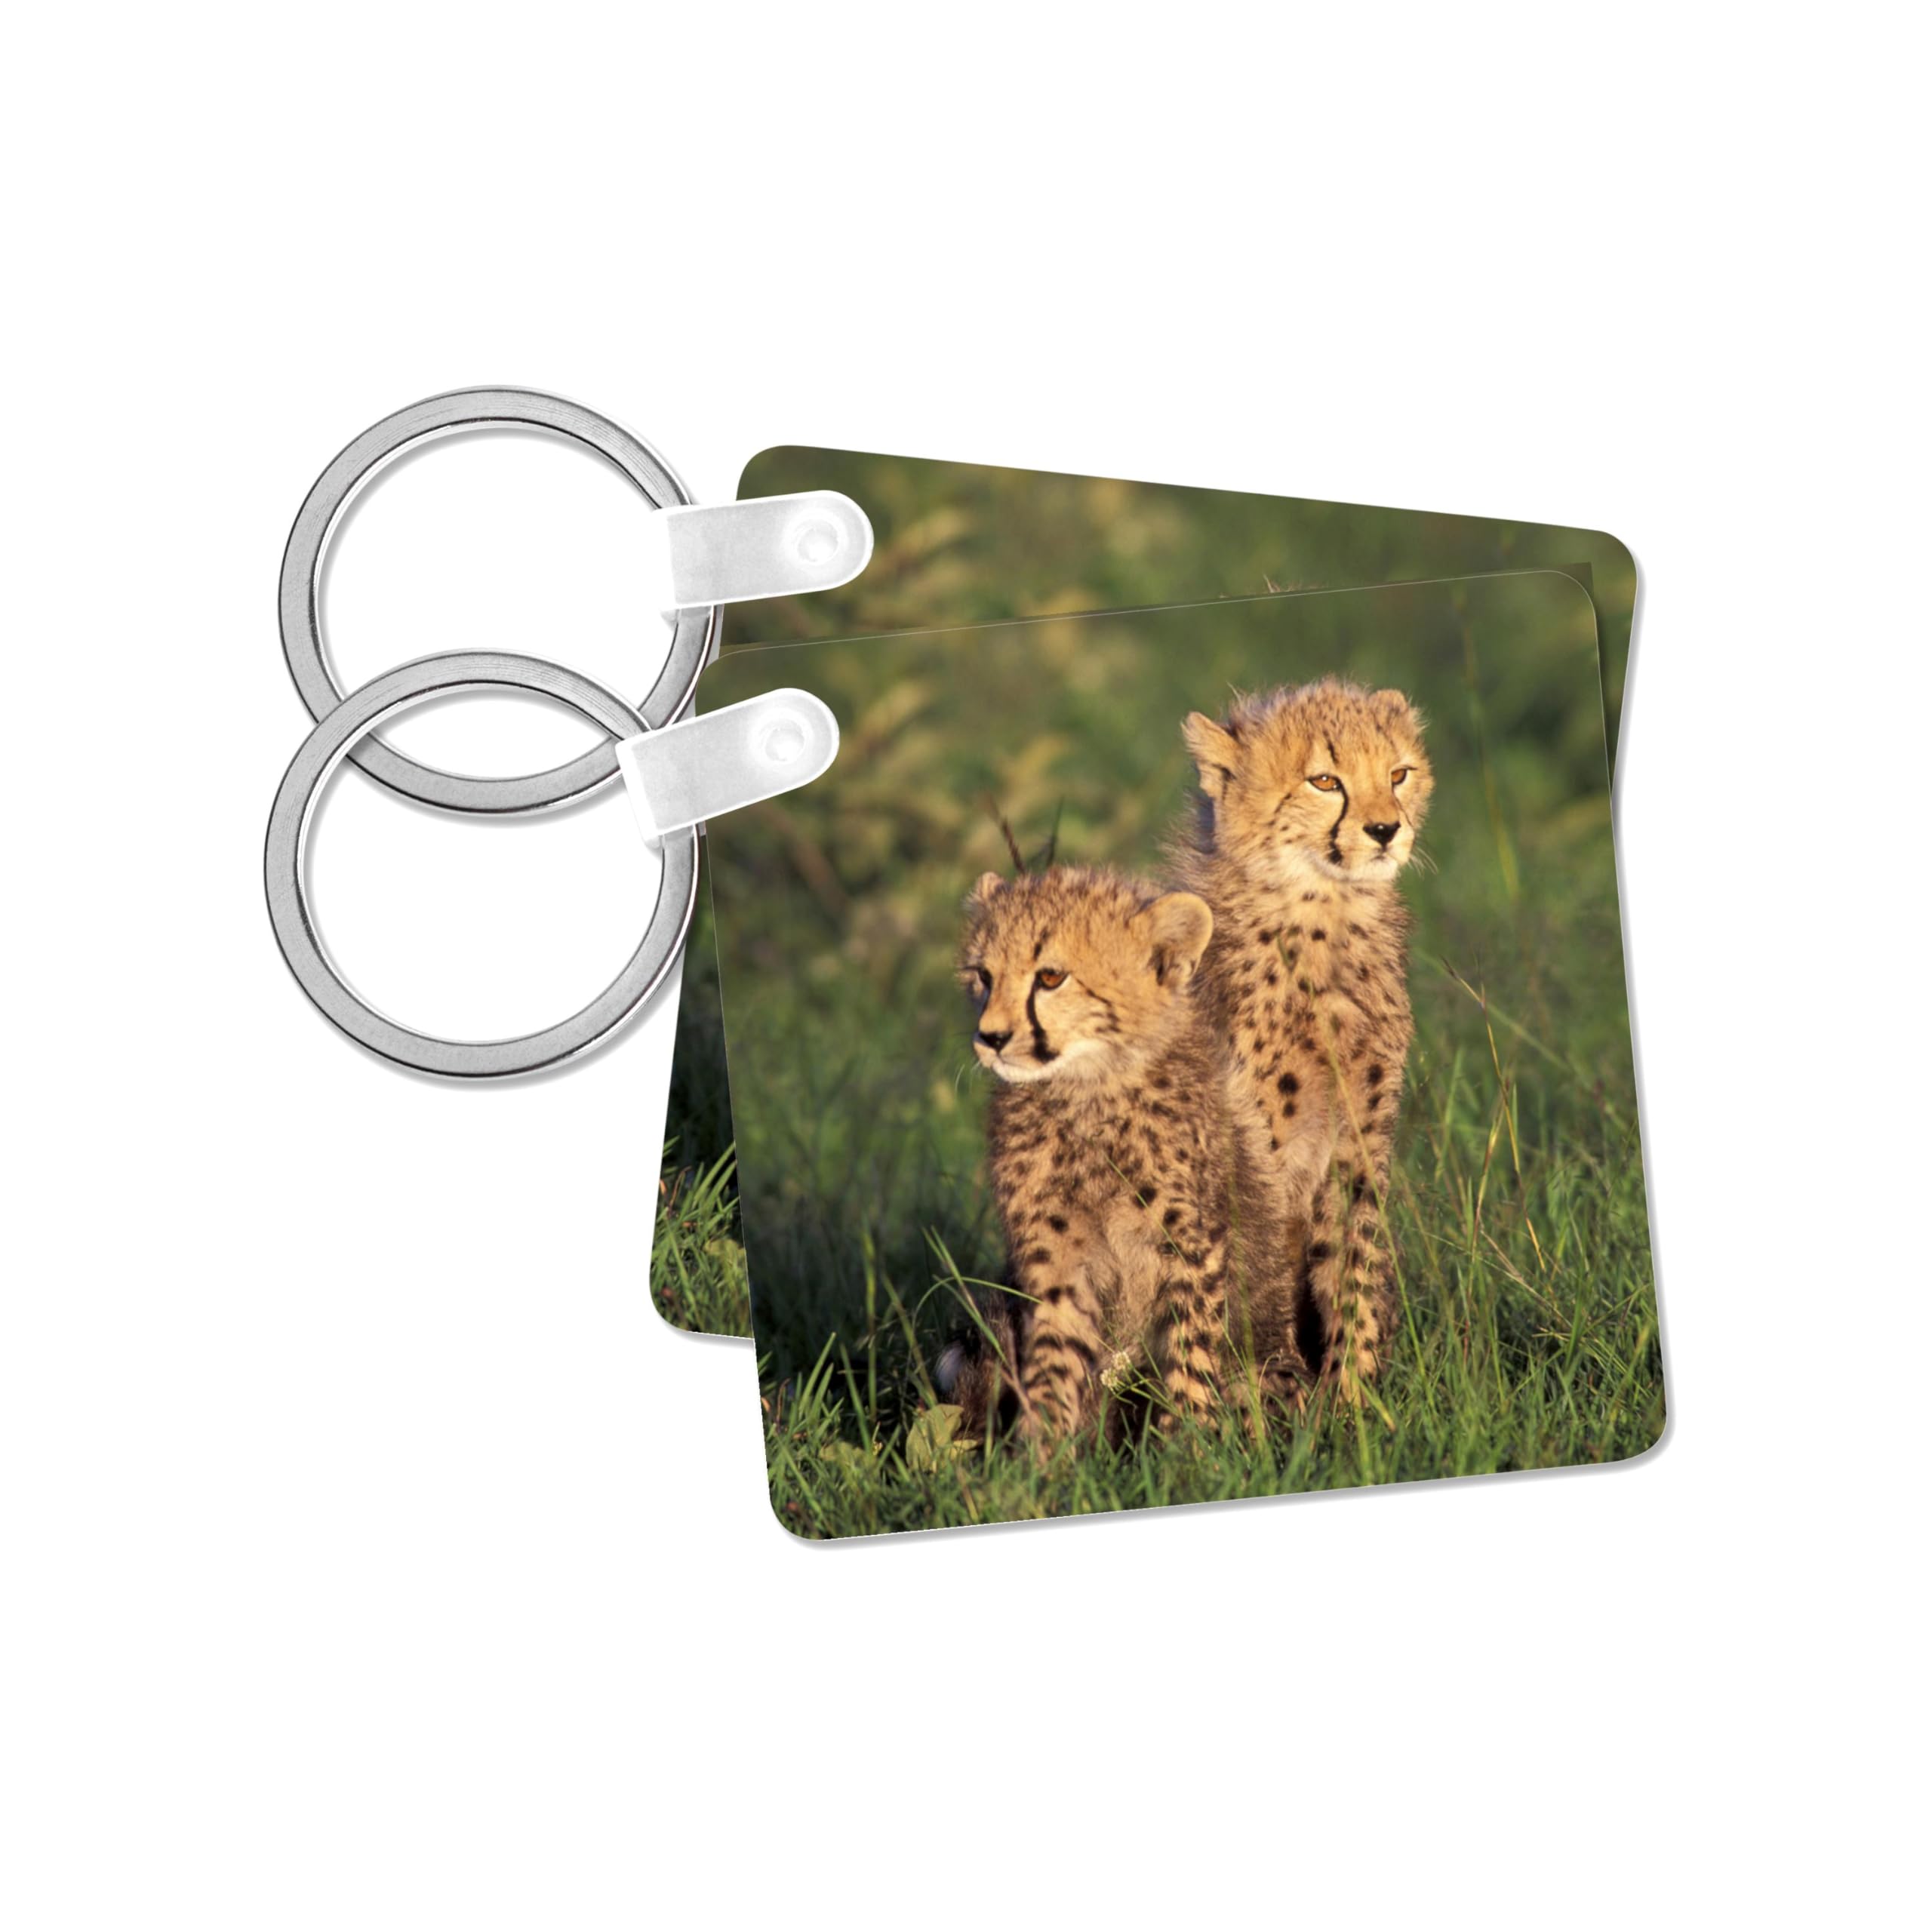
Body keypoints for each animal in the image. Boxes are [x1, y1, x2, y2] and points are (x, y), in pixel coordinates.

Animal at [938, 864, 1303, 1447]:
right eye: (984, 975)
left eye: (1050, 978)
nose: (991, 1038)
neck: (1087, 1089)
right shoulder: (1054, 1251)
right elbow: (1054, 1357)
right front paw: (1042, 1456)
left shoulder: (1192, 1243)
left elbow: (1191, 1353)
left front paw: (1187, 1450)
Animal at [1172, 678, 1434, 1401]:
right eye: (1324, 781)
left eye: (1398, 774)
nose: (1385, 829)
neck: (1326, 915)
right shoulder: (1255, 1148)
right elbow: (1260, 1267)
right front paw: (1272, 1396)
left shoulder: (1360, 1137)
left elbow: (1353, 1260)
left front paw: (1357, 1399)